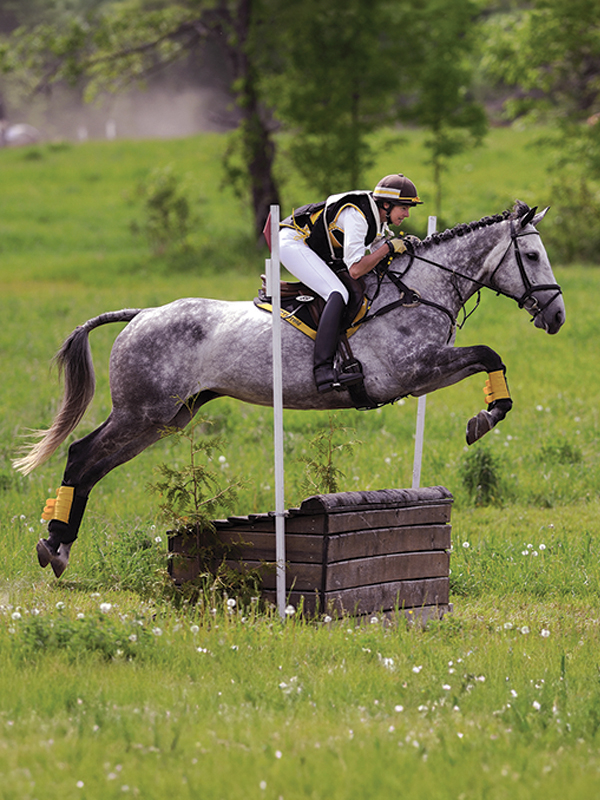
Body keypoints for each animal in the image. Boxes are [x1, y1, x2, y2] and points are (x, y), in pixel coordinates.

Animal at [13, 200, 565, 578]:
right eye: (532, 254)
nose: (557, 317)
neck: (419, 288)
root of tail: (142, 314)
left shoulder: (425, 373)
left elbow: (487, 358)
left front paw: (486, 415)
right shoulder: (411, 370)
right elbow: (488, 353)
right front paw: (483, 420)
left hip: (168, 417)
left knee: (93, 466)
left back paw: (58, 546)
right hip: (143, 411)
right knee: (82, 456)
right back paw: (54, 546)